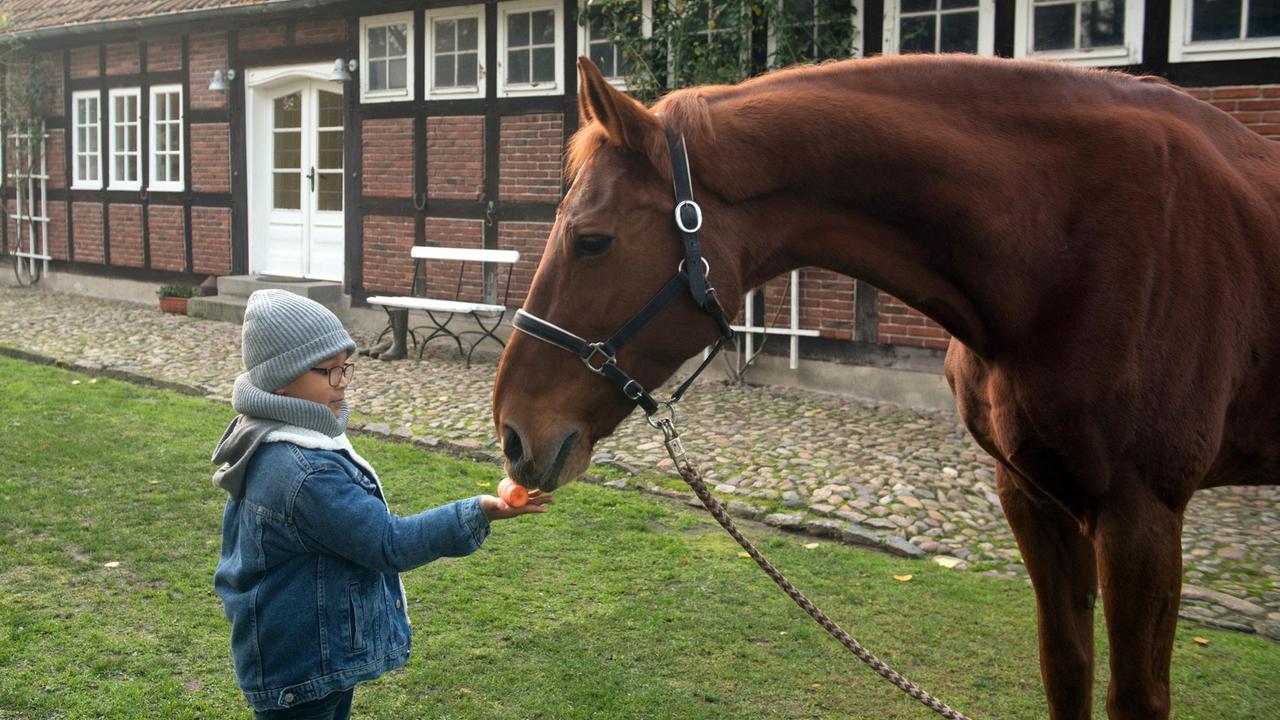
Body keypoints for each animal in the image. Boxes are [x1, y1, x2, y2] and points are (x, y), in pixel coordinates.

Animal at [488, 53, 1280, 712]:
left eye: (592, 239)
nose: (511, 434)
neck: (1058, 242)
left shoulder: (1141, 517)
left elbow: (1134, 696)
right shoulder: (1031, 495)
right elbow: (1065, 668)